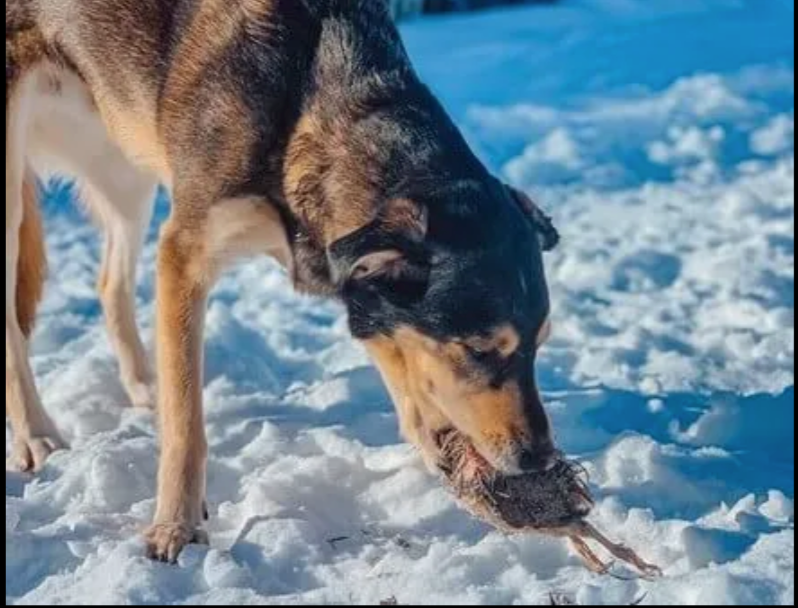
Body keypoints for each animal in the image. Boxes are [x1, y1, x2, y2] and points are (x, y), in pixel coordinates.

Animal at [9, 0, 564, 560]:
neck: (304, 104)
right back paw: (37, 434)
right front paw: (176, 525)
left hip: (123, 171)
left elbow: (402, 363)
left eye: (540, 345)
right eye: (479, 348)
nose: (540, 458)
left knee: (109, 282)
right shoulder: (185, 257)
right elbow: (186, 425)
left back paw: (143, 382)